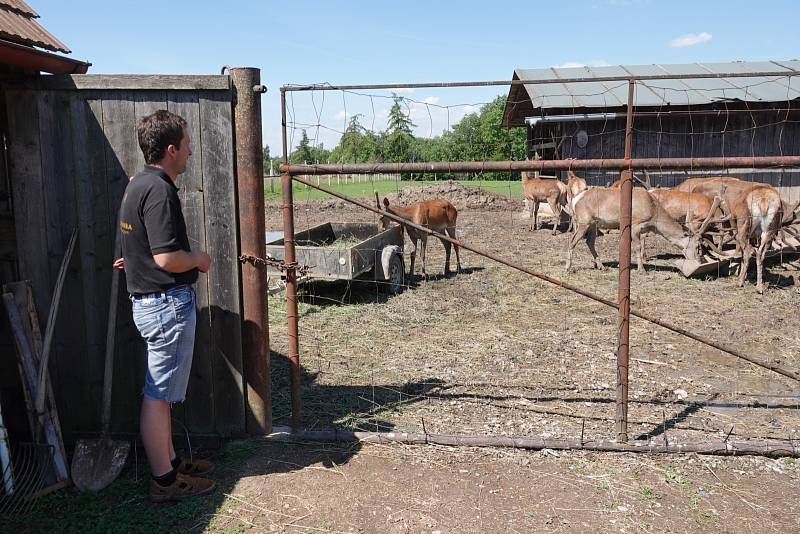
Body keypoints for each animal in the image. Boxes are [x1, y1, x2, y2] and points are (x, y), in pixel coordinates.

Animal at [564, 187, 704, 272]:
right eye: (697, 246)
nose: (699, 261)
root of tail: (575, 199)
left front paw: (623, 265)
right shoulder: (636, 224)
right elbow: (637, 246)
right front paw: (641, 269)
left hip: (594, 223)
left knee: (589, 241)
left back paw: (602, 267)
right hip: (583, 221)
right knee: (572, 240)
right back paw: (568, 268)